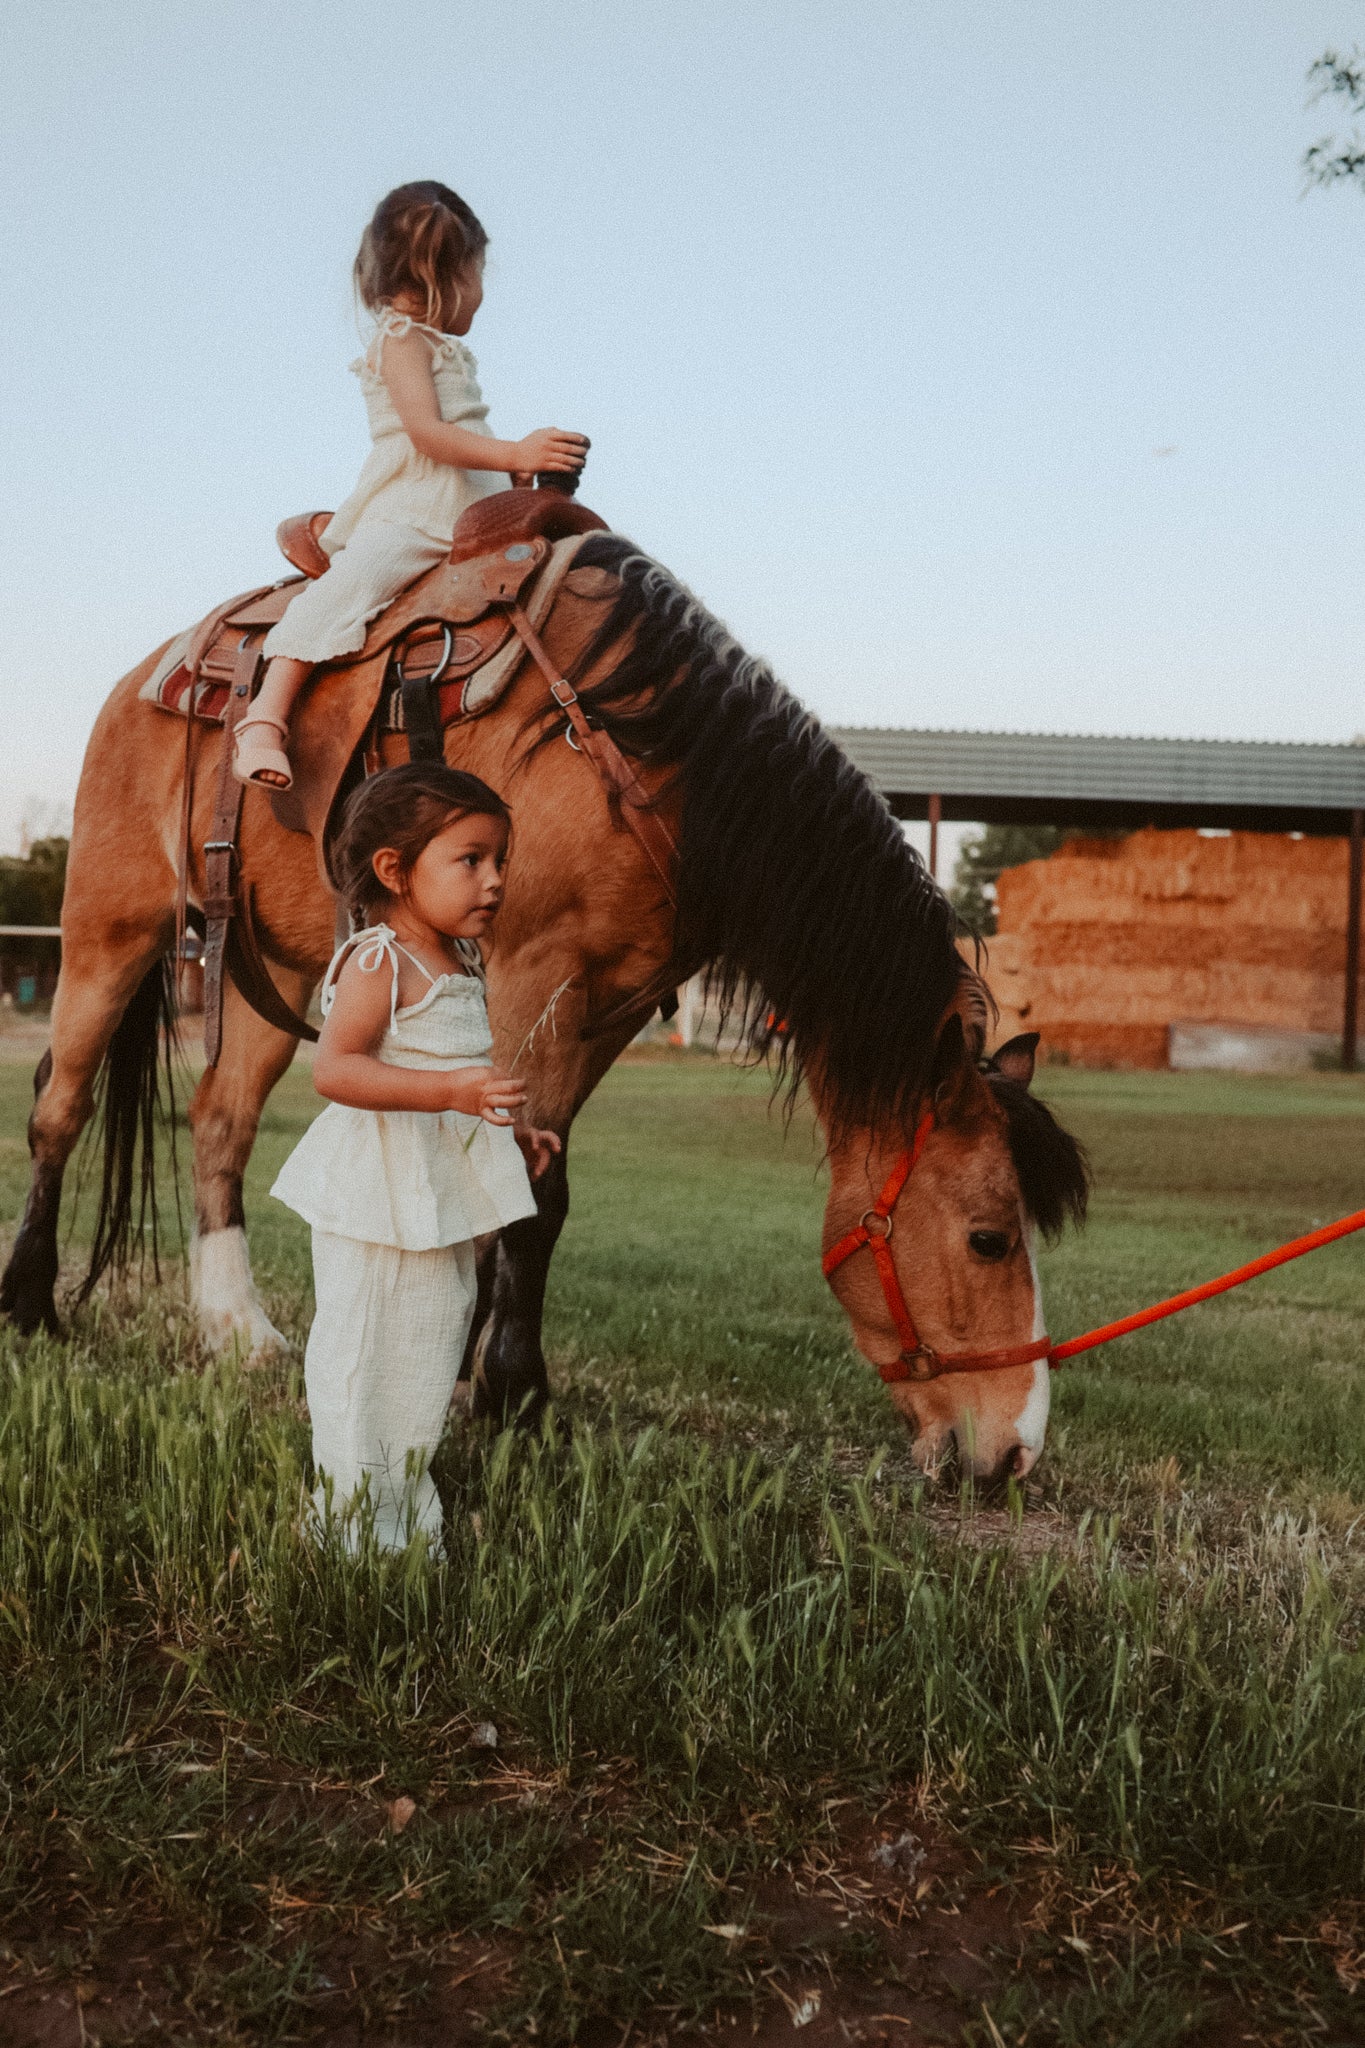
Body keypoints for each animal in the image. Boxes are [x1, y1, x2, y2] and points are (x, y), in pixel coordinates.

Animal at [0, 532, 1088, 1490]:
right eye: (989, 1238)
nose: (1017, 1454)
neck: (655, 760)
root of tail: (149, 675)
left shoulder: (603, 1007)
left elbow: (527, 1188)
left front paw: (478, 1375)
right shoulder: (533, 975)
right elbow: (523, 1186)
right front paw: (510, 1392)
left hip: (277, 968)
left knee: (220, 1123)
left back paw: (236, 1327)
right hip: (110, 926)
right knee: (60, 1107)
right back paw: (29, 1304)